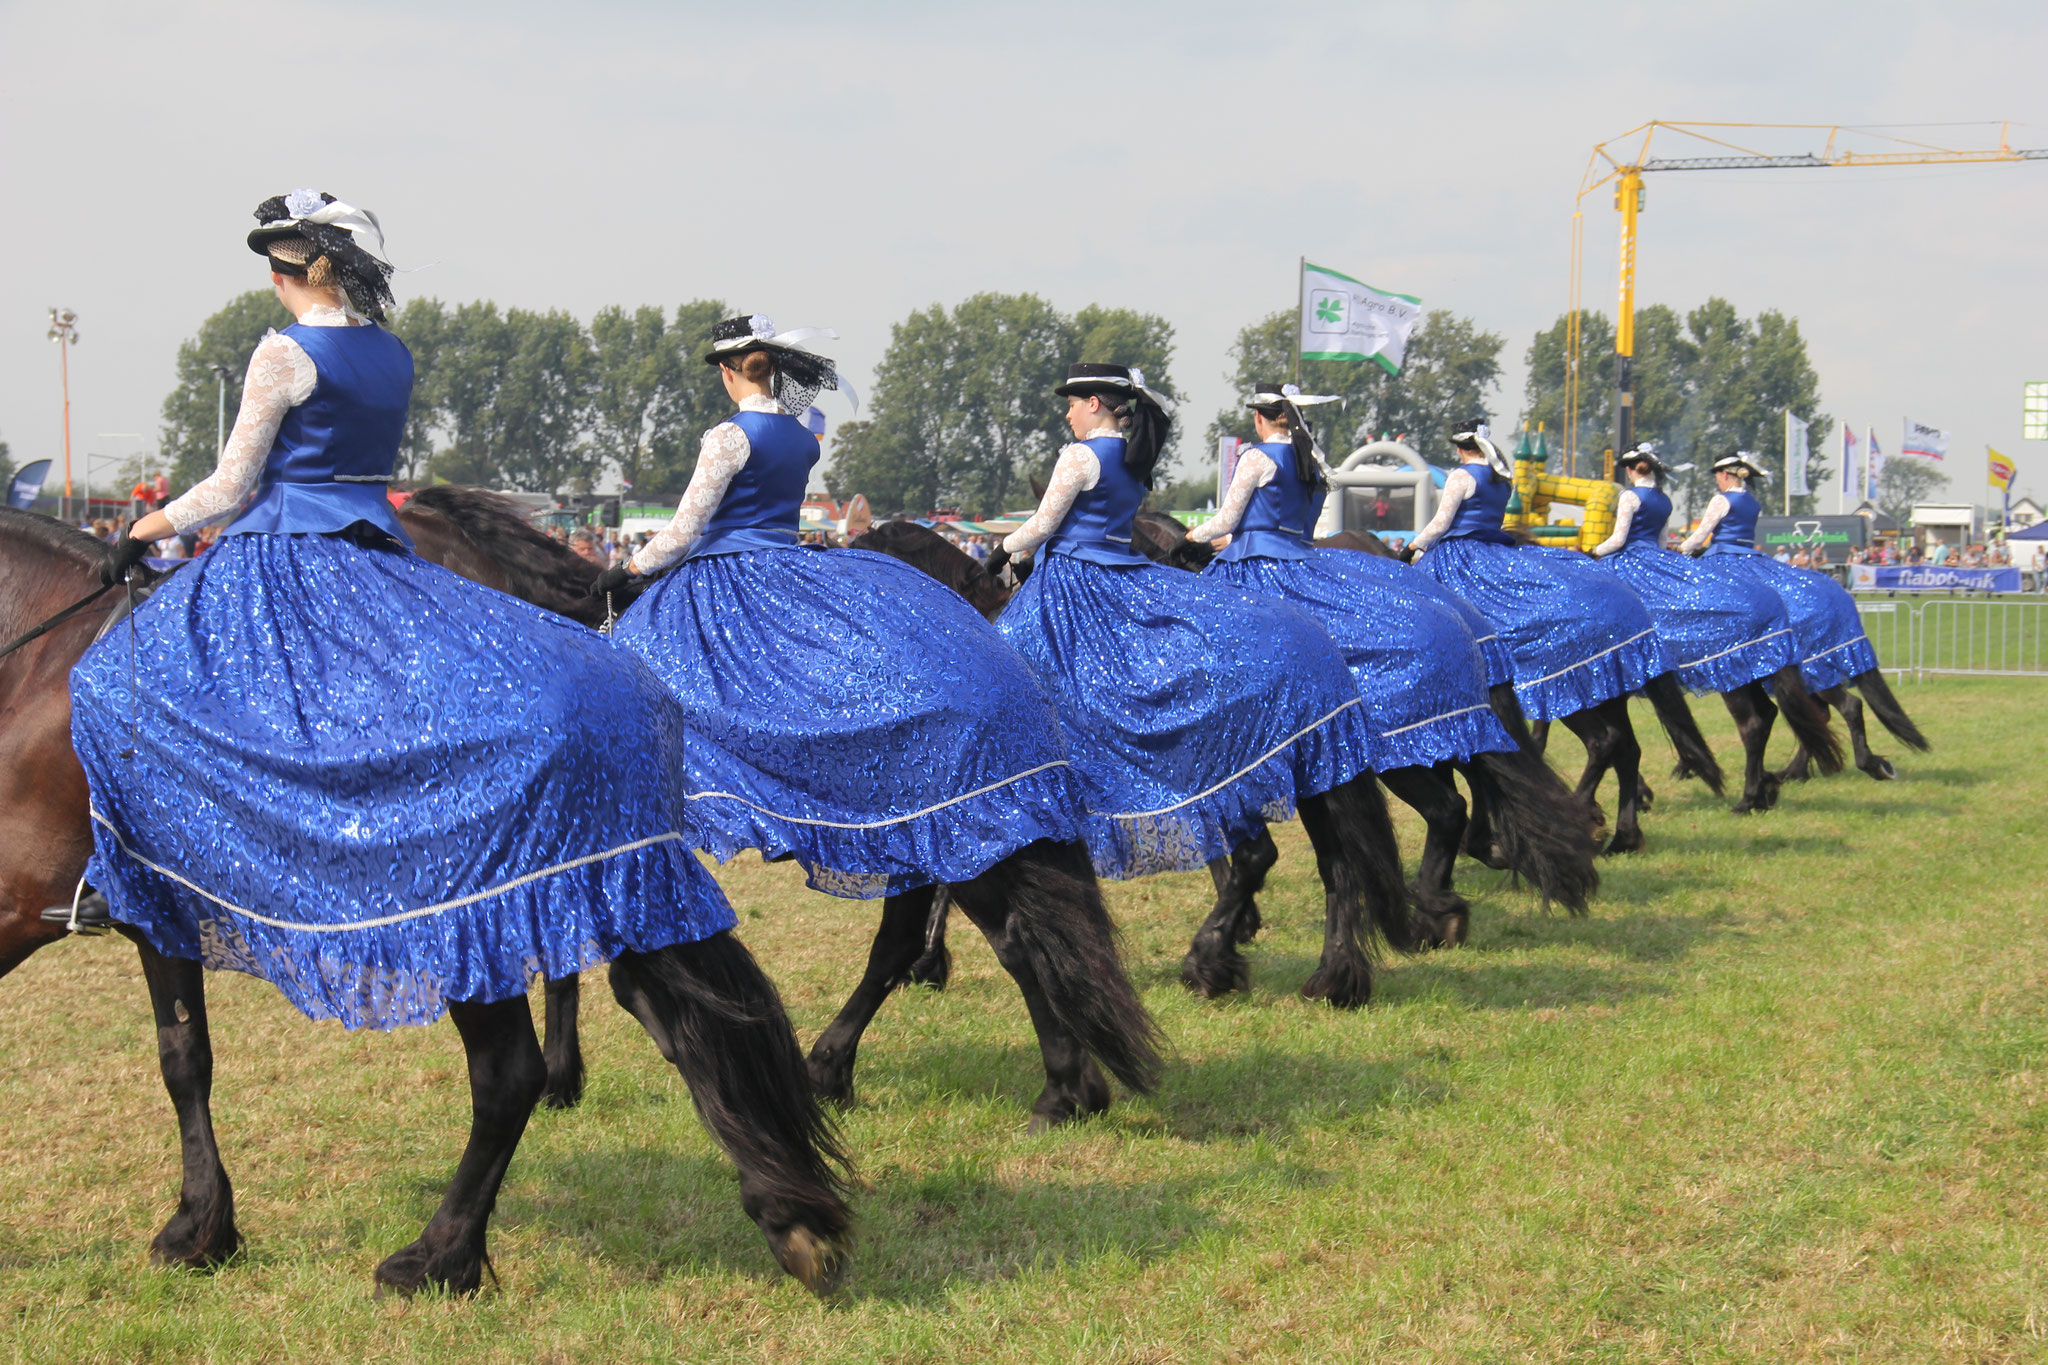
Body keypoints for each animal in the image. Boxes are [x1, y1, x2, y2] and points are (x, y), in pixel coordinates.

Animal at [0, 507, 851, 1301]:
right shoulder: (150, 916)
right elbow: (188, 1053)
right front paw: (208, 1225)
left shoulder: (57, 909)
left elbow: (181, 1059)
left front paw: (194, 1228)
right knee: (671, 1014)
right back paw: (789, 1214)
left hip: (478, 911)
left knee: (509, 1074)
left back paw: (441, 1255)